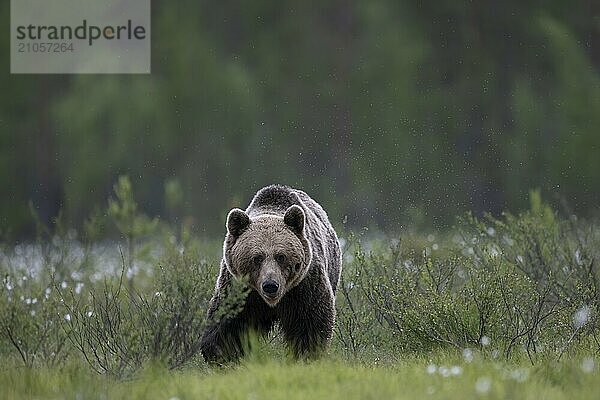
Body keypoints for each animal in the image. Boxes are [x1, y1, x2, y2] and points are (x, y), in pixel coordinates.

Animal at [200, 184, 342, 362]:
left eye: (281, 256)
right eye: (257, 258)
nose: (270, 285)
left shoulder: (304, 286)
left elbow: (310, 322)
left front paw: (306, 354)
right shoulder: (239, 289)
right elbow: (228, 321)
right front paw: (222, 354)